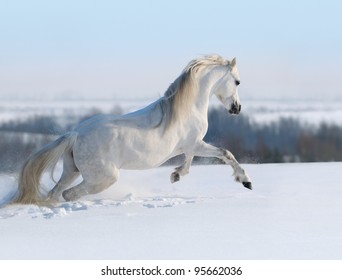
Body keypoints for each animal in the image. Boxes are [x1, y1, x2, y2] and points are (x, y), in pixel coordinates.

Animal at [14, 54, 251, 203]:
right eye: (237, 82)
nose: (237, 108)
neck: (187, 108)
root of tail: (75, 134)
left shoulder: (190, 146)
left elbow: (191, 161)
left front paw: (176, 175)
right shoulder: (196, 144)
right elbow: (225, 153)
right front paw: (245, 181)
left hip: (71, 170)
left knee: (55, 192)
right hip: (103, 177)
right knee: (69, 194)